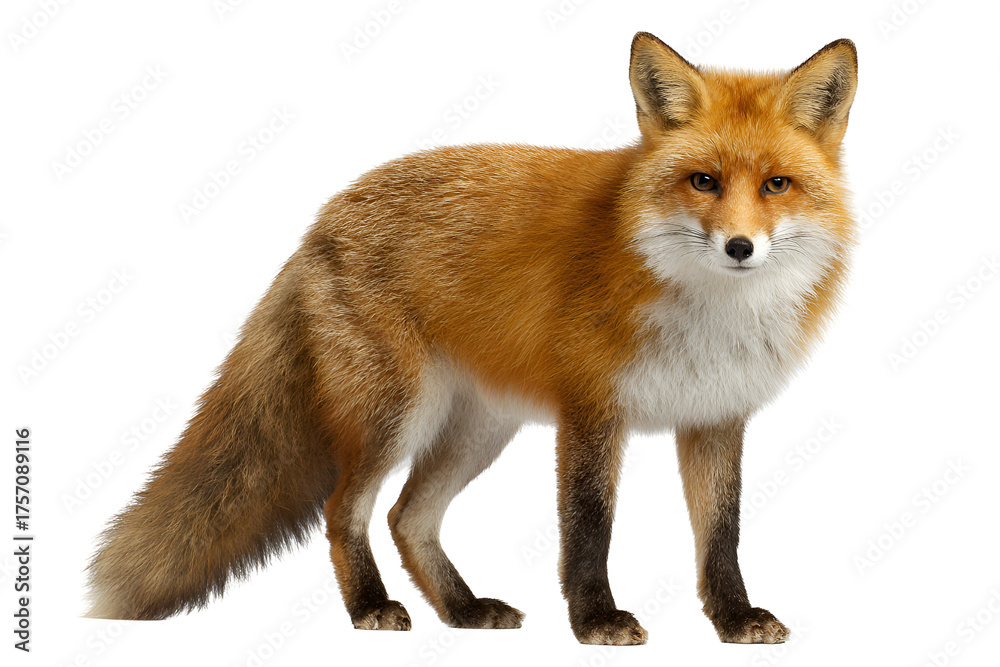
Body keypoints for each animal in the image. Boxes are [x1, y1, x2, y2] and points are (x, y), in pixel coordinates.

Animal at [86, 33, 858, 645]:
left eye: (777, 184)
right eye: (703, 181)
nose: (739, 247)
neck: (708, 312)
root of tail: (323, 218)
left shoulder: (715, 417)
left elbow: (720, 536)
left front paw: (734, 619)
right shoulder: (590, 410)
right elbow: (589, 527)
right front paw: (595, 621)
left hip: (479, 430)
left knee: (407, 518)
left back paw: (461, 610)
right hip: (395, 414)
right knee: (345, 511)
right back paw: (370, 606)